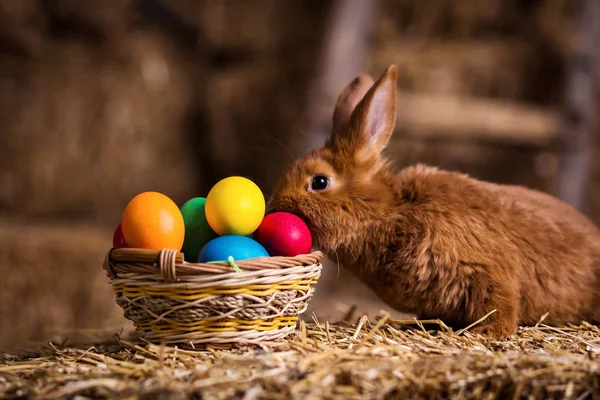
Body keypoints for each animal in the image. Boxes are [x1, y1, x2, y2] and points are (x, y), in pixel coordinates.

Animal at [270, 65, 600, 338]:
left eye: (319, 182)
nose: (275, 207)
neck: (391, 211)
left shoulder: (488, 271)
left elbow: (499, 306)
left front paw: (489, 335)